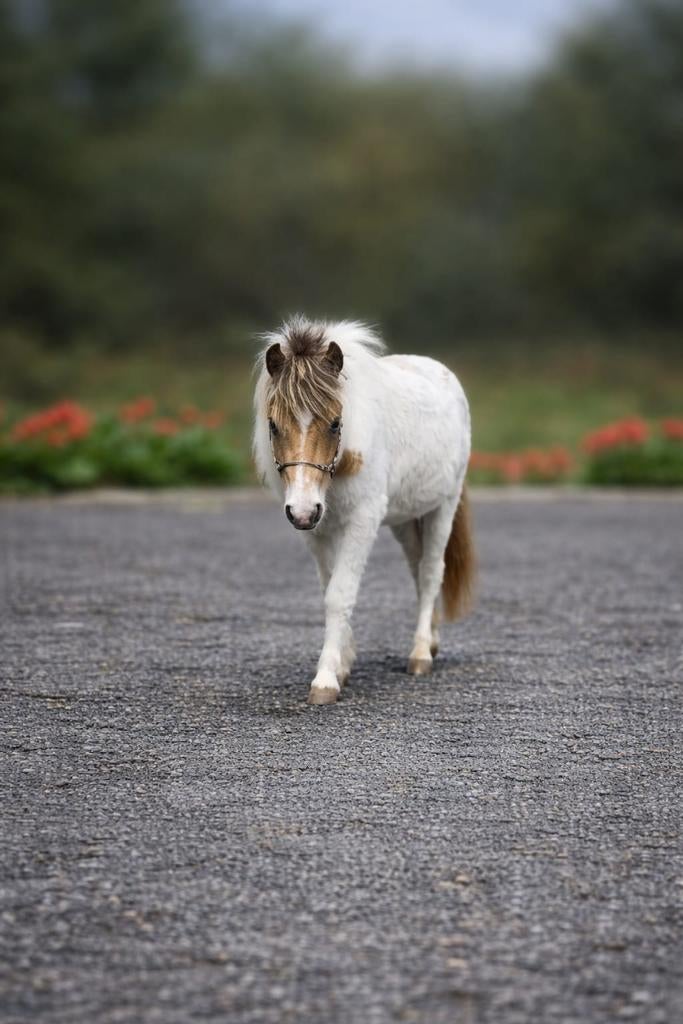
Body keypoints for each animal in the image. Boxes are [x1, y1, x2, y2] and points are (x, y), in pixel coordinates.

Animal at [253, 316, 475, 705]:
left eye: (334, 423)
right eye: (273, 425)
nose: (303, 510)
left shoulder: (361, 522)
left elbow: (340, 595)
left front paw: (326, 679)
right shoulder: (318, 530)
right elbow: (328, 589)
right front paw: (343, 663)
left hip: (443, 506)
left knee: (431, 572)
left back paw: (420, 654)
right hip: (405, 518)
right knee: (417, 569)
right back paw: (430, 641)